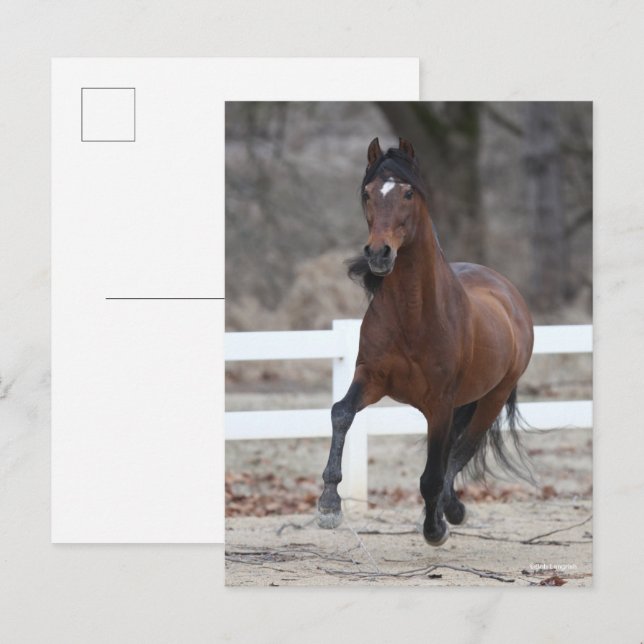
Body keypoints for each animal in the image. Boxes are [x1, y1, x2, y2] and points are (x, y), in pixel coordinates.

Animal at [317, 137, 534, 546]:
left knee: (462, 449)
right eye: (368, 193)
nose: (379, 254)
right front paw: (328, 505)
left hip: (492, 398)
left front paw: (434, 529)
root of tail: (508, 293)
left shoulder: (440, 402)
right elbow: (341, 413)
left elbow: (433, 472)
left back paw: (451, 512)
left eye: (407, 193)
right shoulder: (371, 378)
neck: (413, 316)